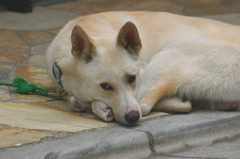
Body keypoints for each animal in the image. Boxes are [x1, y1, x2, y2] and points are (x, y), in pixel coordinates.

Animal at [45, 11, 240, 125]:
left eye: (132, 78)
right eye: (105, 86)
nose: (132, 118)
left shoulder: (142, 74)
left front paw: (93, 105)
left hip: (167, 58)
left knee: (146, 105)